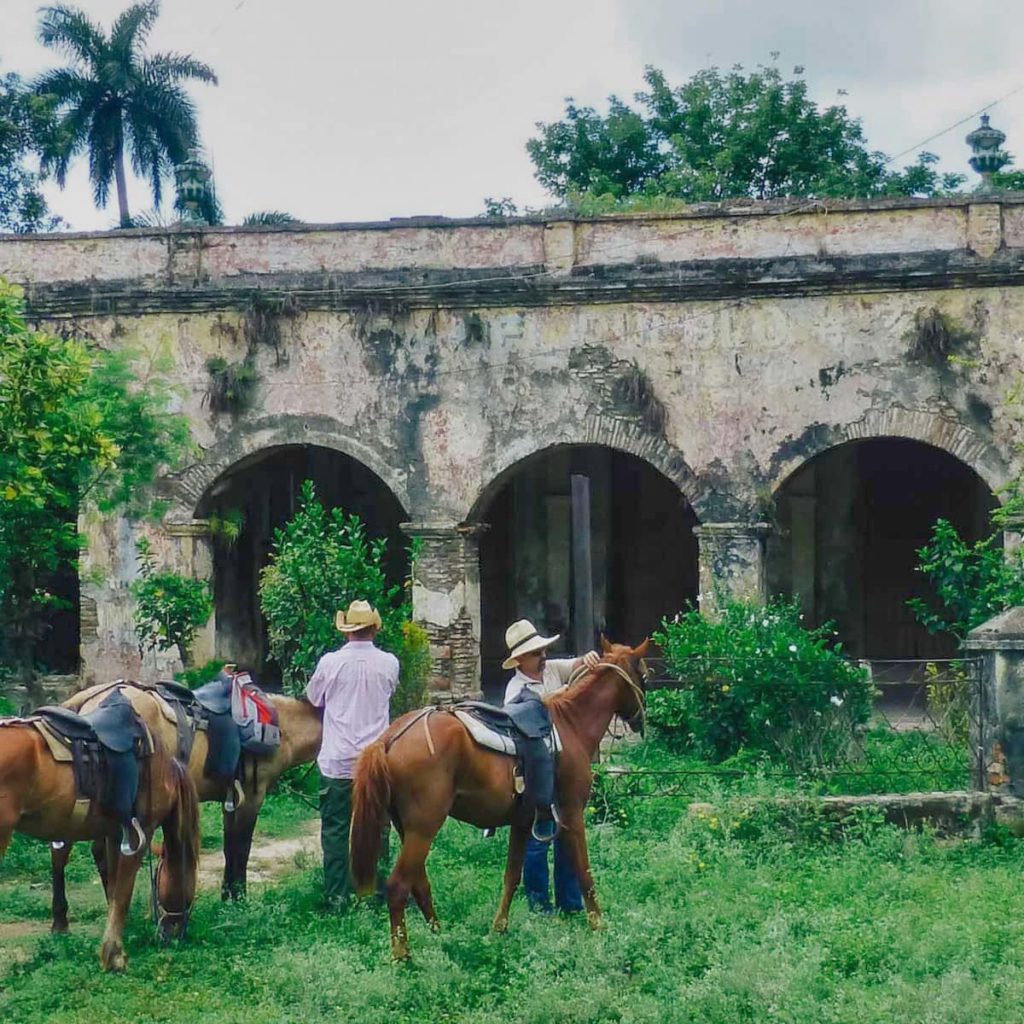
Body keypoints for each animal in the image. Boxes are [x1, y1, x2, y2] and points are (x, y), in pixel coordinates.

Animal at [0, 700, 198, 970]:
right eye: (191, 878)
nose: (175, 932)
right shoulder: (141, 833)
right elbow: (123, 893)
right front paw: (114, 955)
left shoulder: (115, 835)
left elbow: (114, 890)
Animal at [47, 679, 319, 929]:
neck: (283, 727)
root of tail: (83, 703)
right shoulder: (252, 797)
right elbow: (242, 849)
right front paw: (240, 899)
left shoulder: (231, 800)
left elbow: (229, 848)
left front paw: (226, 898)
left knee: (70, 851)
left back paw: (69, 917)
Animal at [348, 634, 643, 962]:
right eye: (644, 671)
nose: (640, 719)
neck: (571, 725)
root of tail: (388, 740)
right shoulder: (571, 813)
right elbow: (584, 871)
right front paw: (598, 924)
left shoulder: (524, 821)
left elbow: (512, 876)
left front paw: (498, 929)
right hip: (424, 827)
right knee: (398, 885)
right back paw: (403, 956)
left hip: (407, 828)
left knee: (419, 883)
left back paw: (441, 936)